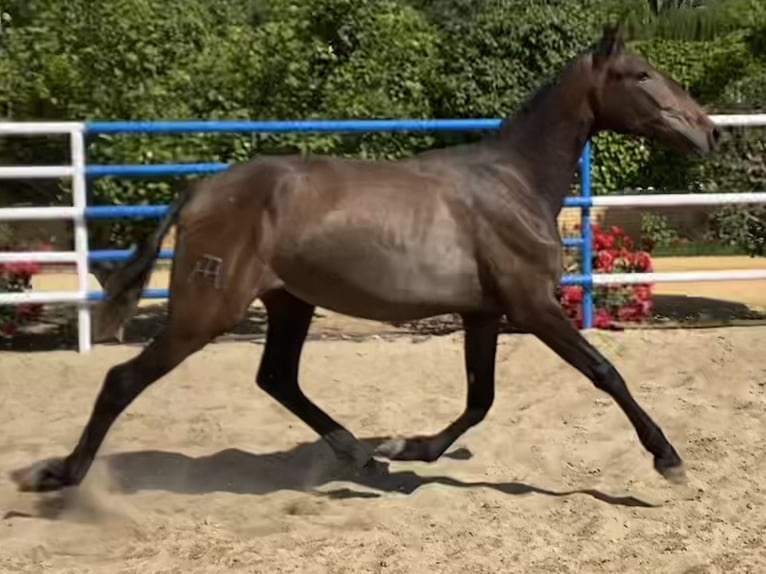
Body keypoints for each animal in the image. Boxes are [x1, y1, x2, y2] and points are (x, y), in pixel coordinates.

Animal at [13, 25, 720, 496]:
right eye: (641, 74)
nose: (709, 130)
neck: (513, 184)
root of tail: (201, 189)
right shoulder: (532, 306)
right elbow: (605, 373)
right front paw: (669, 462)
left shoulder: (484, 314)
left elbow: (481, 398)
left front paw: (409, 447)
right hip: (205, 311)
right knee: (122, 381)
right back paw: (61, 476)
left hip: (289, 302)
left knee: (277, 377)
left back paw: (358, 452)